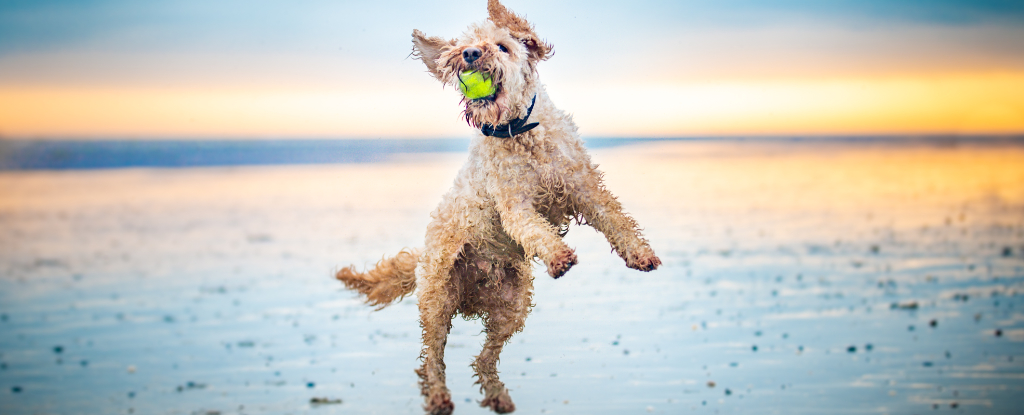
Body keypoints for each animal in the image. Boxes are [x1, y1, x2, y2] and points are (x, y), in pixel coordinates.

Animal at [331, 1, 659, 411]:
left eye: (503, 46)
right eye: (464, 46)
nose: (471, 54)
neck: (520, 132)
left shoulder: (584, 187)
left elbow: (616, 219)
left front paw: (640, 253)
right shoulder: (514, 204)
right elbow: (534, 228)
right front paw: (558, 256)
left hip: (512, 306)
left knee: (483, 358)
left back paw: (497, 395)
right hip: (437, 298)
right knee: (432, 359)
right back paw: (438, 396)